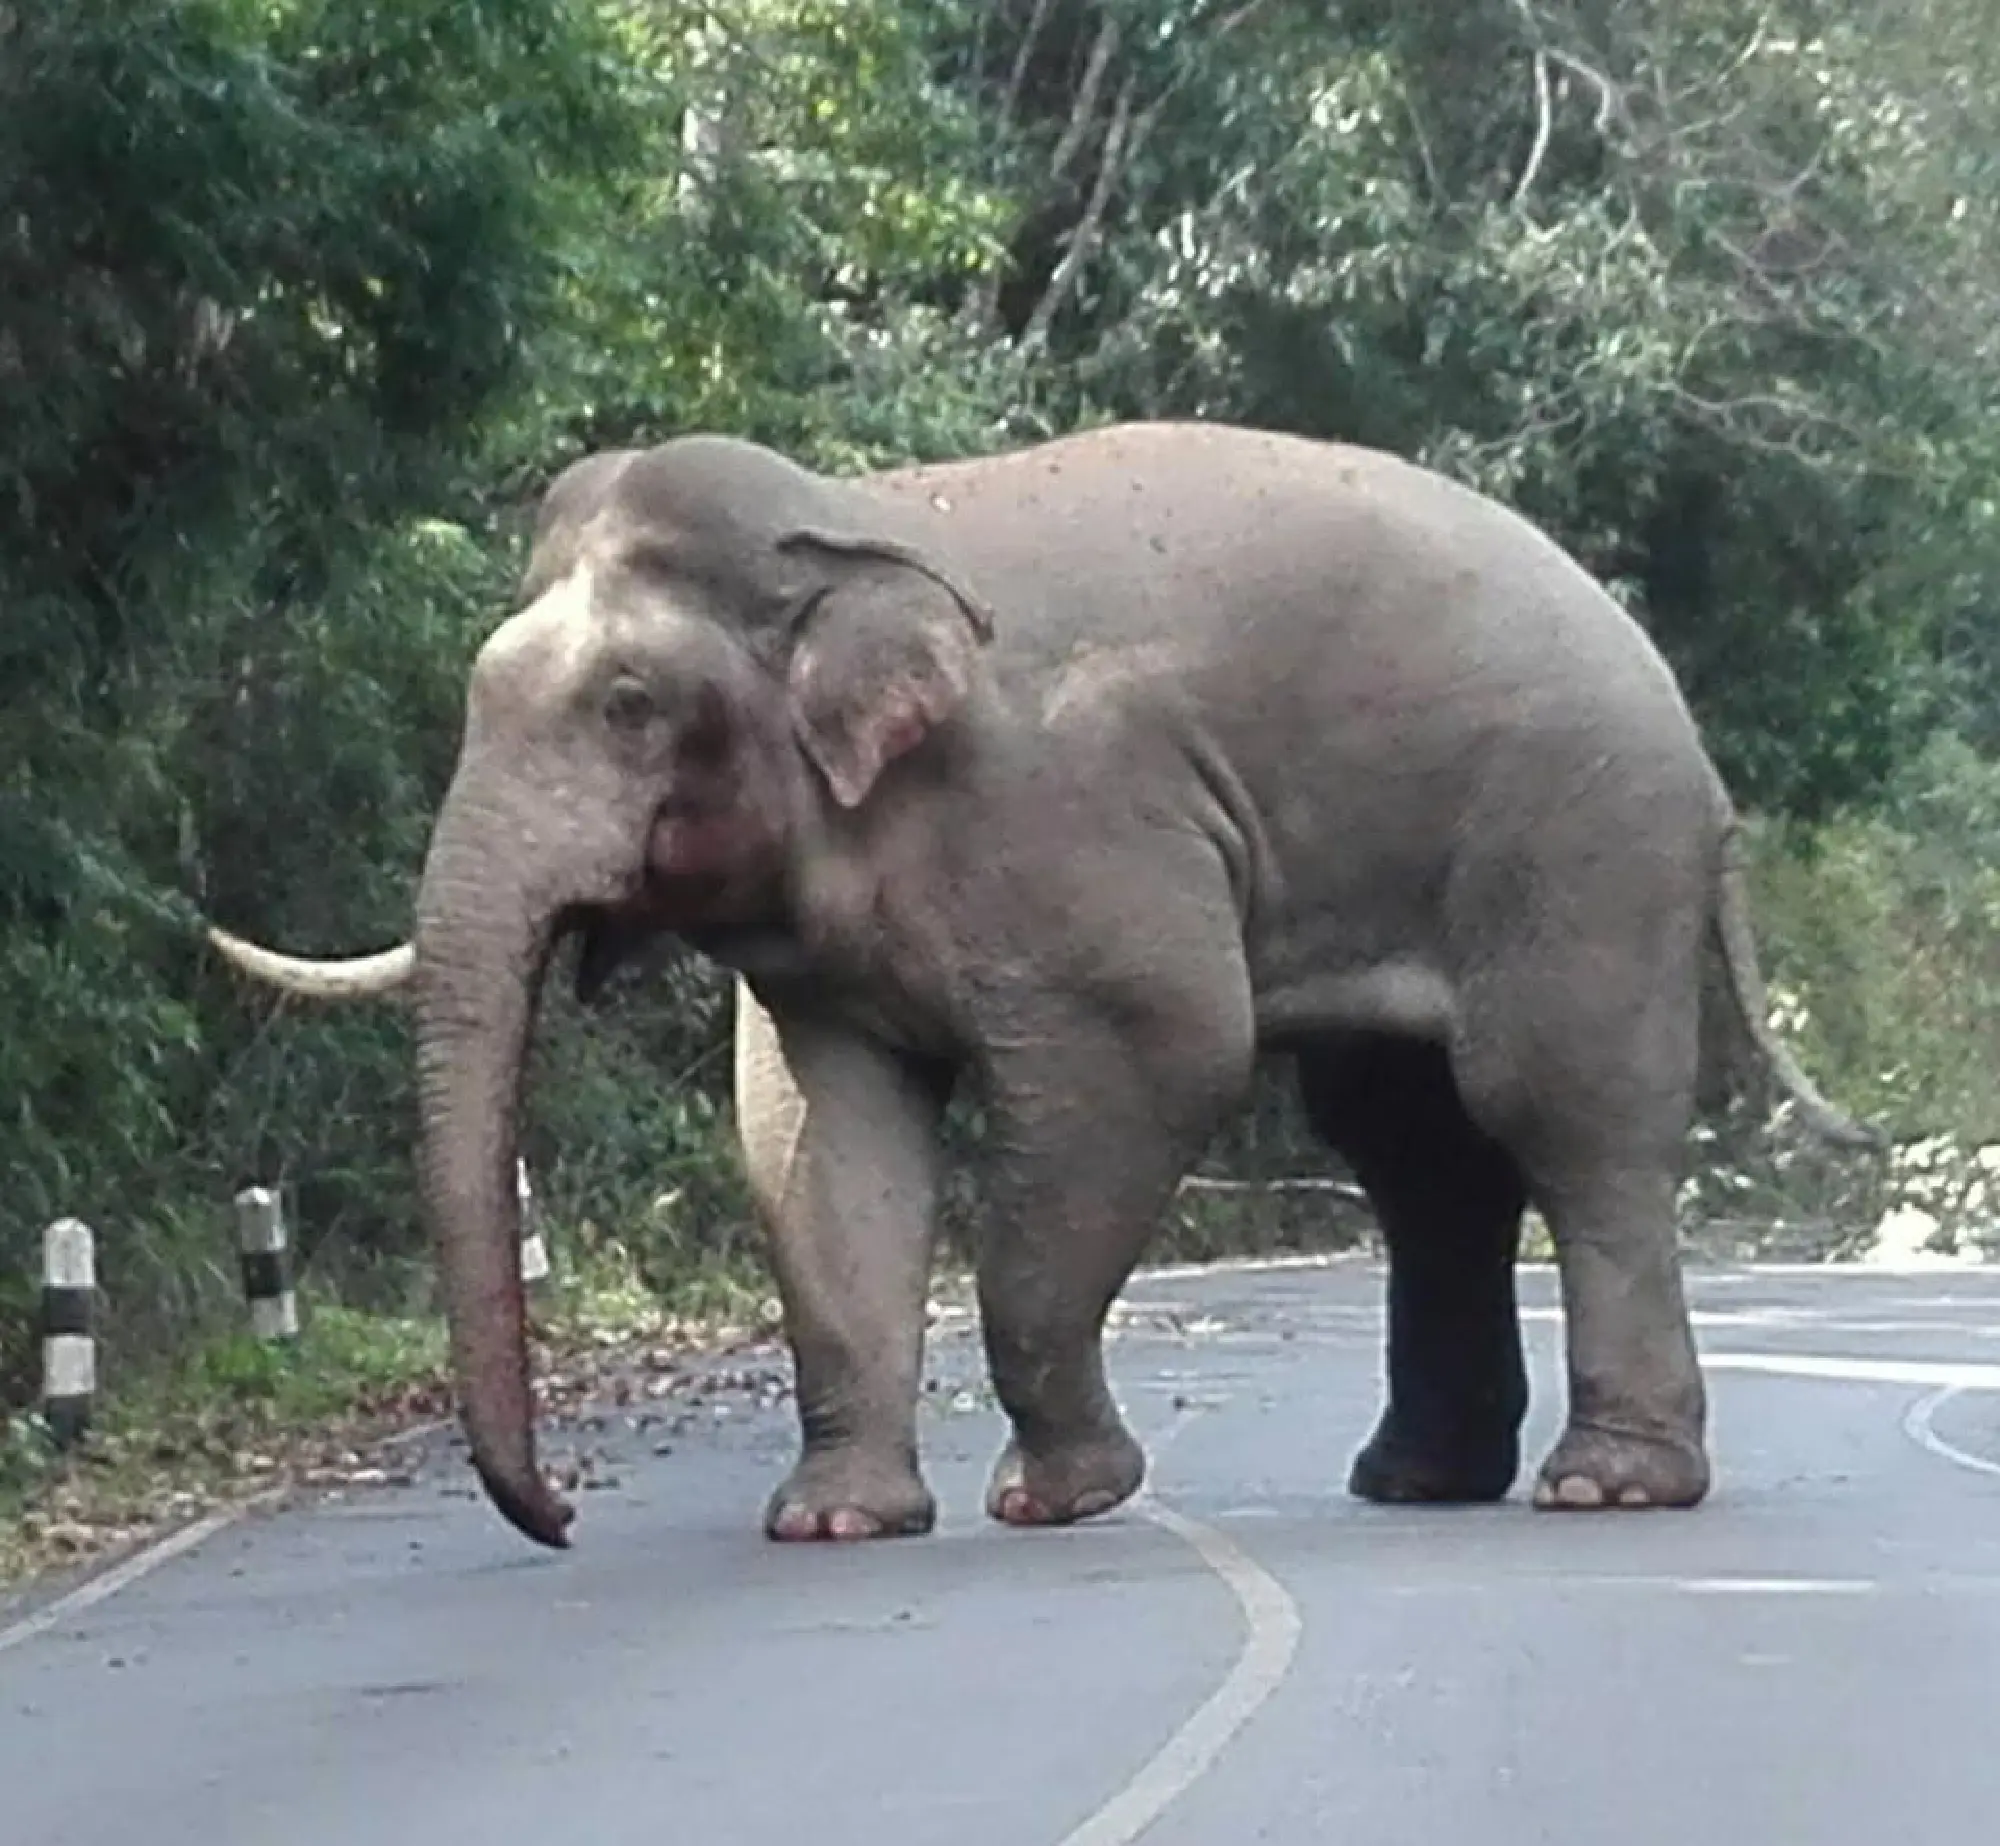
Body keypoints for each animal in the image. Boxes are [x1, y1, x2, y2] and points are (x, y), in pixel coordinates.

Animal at [205, 419, 1880, 1552]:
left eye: (627, 704)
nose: (557, 1515)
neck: (854, 525)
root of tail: (1692, 739)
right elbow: (820, 1142)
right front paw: (836, 1522)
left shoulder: (1076, 819)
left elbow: (1161, 1056)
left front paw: (1062, 1497)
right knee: (1419, 1157)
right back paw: (1418, 1481)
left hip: (1581, 842)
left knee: (1564, 1116)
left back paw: (1606, 1487)